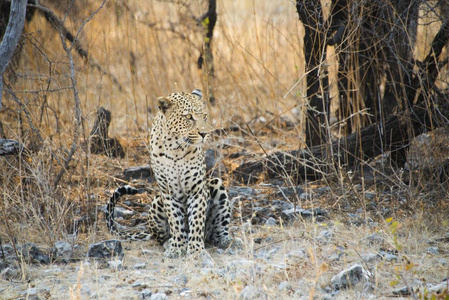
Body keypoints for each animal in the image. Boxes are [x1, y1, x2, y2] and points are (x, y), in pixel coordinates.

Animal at [104, 89, 231, 258]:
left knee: (216, 229)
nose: (204, 133)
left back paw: (225, 240)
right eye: (188, 117)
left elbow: (197, 221)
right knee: (160, 237)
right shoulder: (168, 192)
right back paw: (169, 242)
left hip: (215, 183)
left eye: (204, 116)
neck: (176, 148)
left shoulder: (197, 190)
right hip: (157, 201)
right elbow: (175, 221)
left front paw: (196, 250)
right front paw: (177, 247)